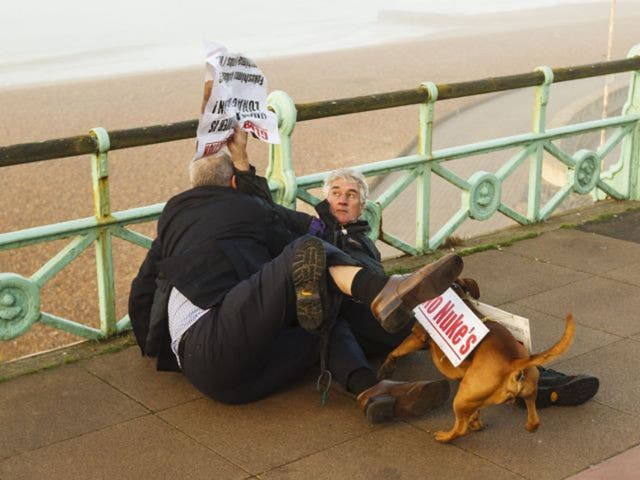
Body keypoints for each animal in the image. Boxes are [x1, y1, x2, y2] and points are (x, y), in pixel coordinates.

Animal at [380, 280, 576, 444]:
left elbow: (396, 350)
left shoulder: (416, 337)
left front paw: (386, 367)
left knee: (460, 428)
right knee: (534, 420)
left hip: (461, 398)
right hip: (525, 391)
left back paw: (445, 436)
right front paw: (475, 419)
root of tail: (513, 362)